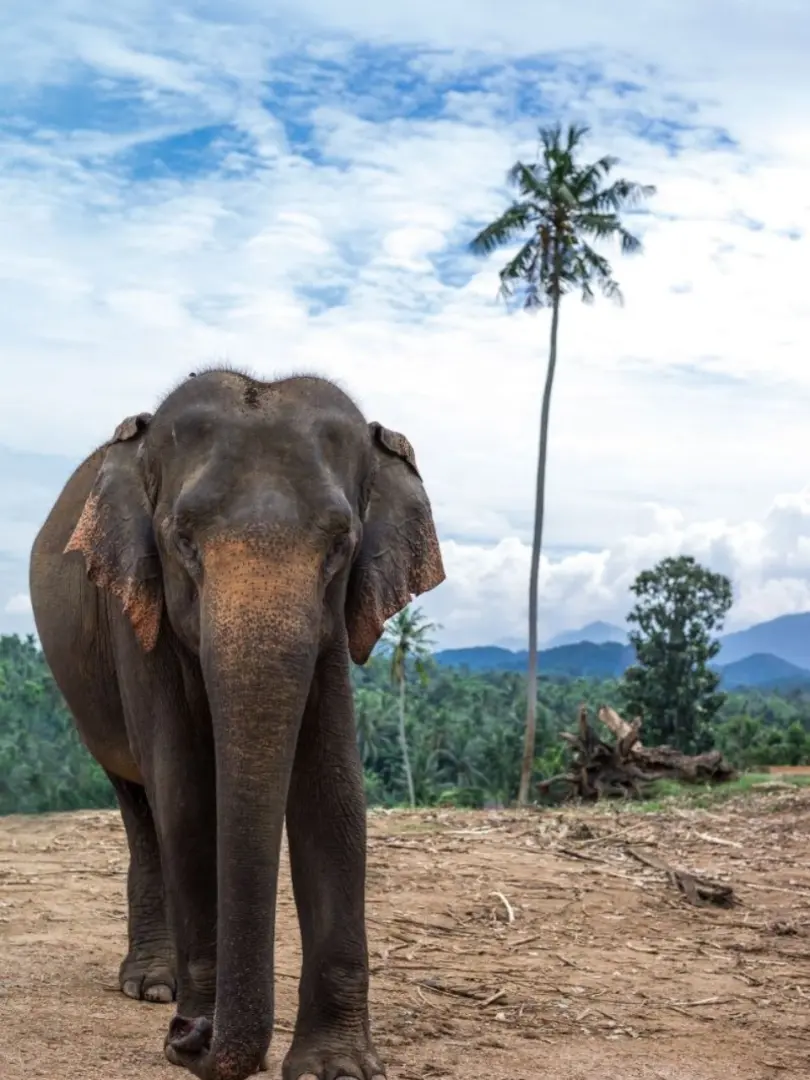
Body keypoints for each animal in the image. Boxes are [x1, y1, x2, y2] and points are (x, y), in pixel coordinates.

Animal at [29, 369, 445, 1080]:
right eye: (182, 539)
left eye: (341, 544)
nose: (187, 1035)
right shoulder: (137, 614)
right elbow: (186, 791)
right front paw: (195, 1018)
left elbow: (334, 795)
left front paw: (335, 1068)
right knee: (140, 805)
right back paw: (153, 985)